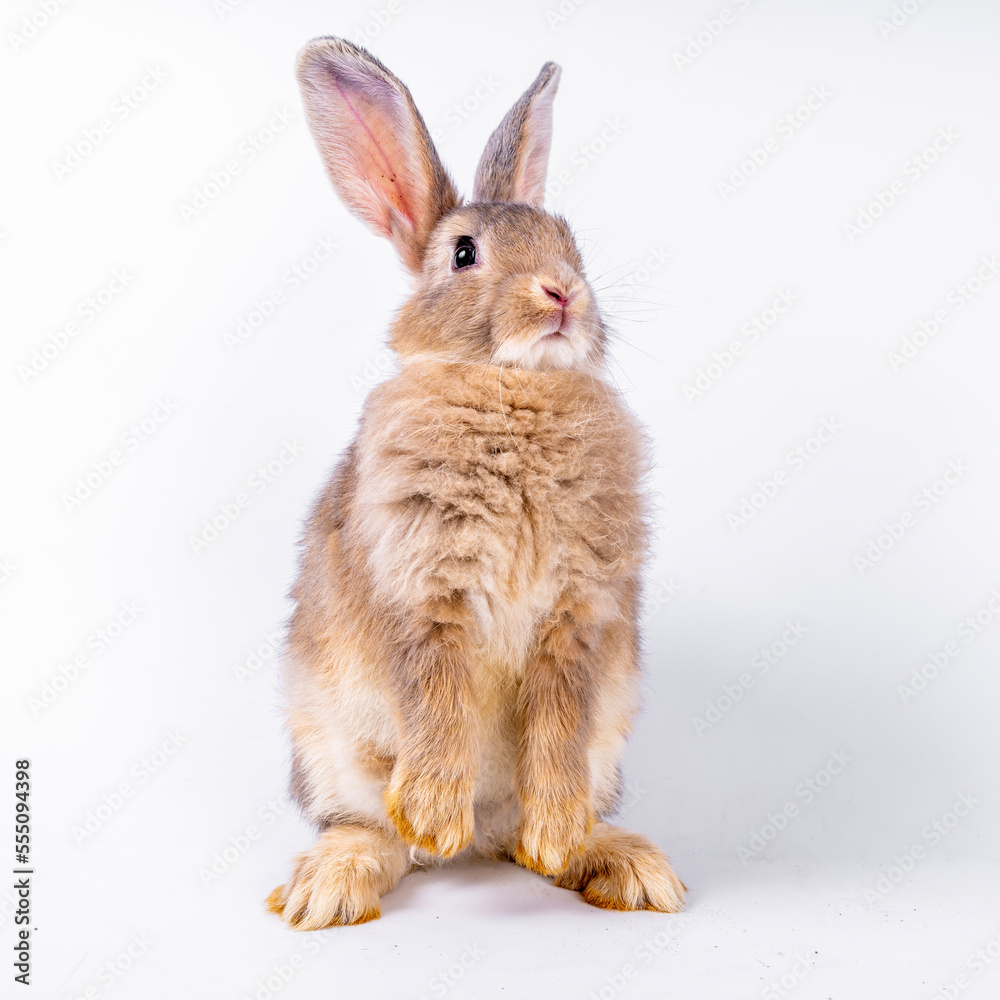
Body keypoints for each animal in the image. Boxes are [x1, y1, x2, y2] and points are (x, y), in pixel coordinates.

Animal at [266, 36, 686, 929]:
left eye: (569, 239)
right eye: (464, 254)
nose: (562, 292)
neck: (513, 385)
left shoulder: (578, 616)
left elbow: (558, 722)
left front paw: (555, 834)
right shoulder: (428, 597)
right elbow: (438, 702)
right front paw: (431, 813)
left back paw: (612, 862)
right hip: (328, 745)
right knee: (372, 832)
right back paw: (339, 882)